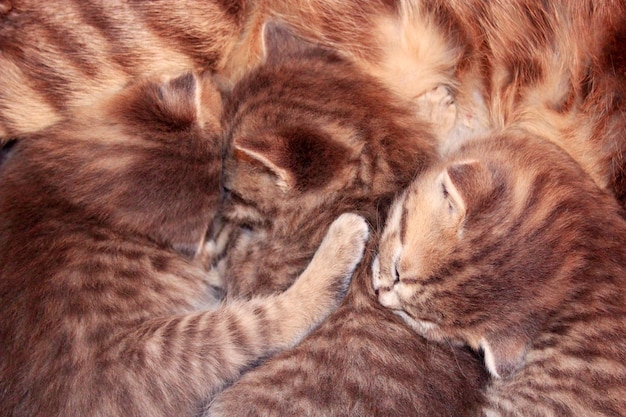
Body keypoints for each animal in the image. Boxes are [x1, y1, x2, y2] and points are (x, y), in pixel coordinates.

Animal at [0, 71, 368, 416]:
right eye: (220, 191)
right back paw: (342, 241)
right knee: (266, 321)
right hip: (157, 351)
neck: (71, 196)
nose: (228, 214)